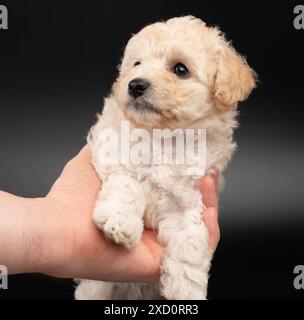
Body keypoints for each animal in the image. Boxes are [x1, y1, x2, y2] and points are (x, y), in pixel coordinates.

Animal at [74, 15, 256, 300]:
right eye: (137, 64)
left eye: (180, 69)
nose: (135, 84)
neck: (164, 136)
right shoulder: (114, 155)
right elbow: (127, 185)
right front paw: (119, 221)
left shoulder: (189, 199)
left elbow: (190, 238)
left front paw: (186, 288)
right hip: (96, 286)